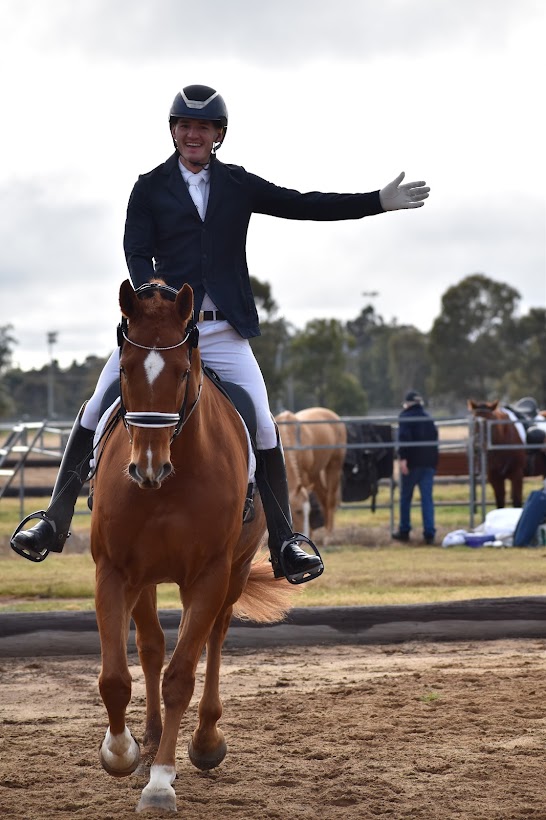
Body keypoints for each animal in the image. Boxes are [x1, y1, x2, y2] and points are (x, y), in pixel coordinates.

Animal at [91, 280, 292, 812]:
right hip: (146, 579)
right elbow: (116, 677)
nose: (147, 468)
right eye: (124, 369)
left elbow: (182, 675)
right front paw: (122, 752)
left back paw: (203, 742)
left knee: (213, 641)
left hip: (232, 574)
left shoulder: (209, 575)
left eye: (182, 372)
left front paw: (161, 781)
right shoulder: (114, 570)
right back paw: (149, 737)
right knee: (153, 648)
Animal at [274, 406, 346, 540]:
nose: (304, 535)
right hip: (316, 475)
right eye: (298, 511)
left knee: (330, 499)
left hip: (334, 466)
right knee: (323, 498)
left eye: (307, 512)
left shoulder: (304, 476)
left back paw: (328, 534)